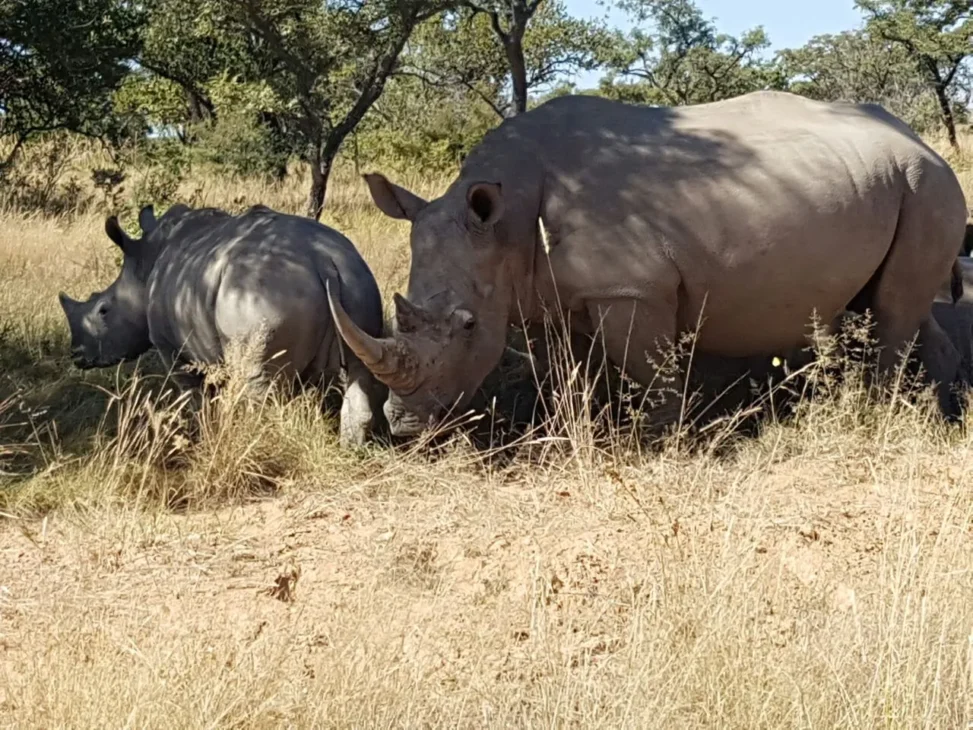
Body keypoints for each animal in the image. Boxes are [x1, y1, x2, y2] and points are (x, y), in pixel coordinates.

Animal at [58, 203, 386, 447]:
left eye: (103, 310)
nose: (77, 355)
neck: (145, 264)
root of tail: (324, 261)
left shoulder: (174, 351)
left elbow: (197, 398)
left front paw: (202, 436)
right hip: (356, 281)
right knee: (359, 369)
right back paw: (350, 450)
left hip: (263, 298)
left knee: (258, 388)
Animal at [326, 90, 969, 436]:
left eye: (465, 327)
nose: (405, 427)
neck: (504, 222)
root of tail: (920, 140)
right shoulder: (555, 293)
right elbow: (573, 371)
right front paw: (581, 426)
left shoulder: (631, 287)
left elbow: (649, 367)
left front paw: (657, 443)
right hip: (894, 182)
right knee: (897, 304)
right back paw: (943, 412)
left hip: (928, 184)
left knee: (893, 308)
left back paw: (875, 414)